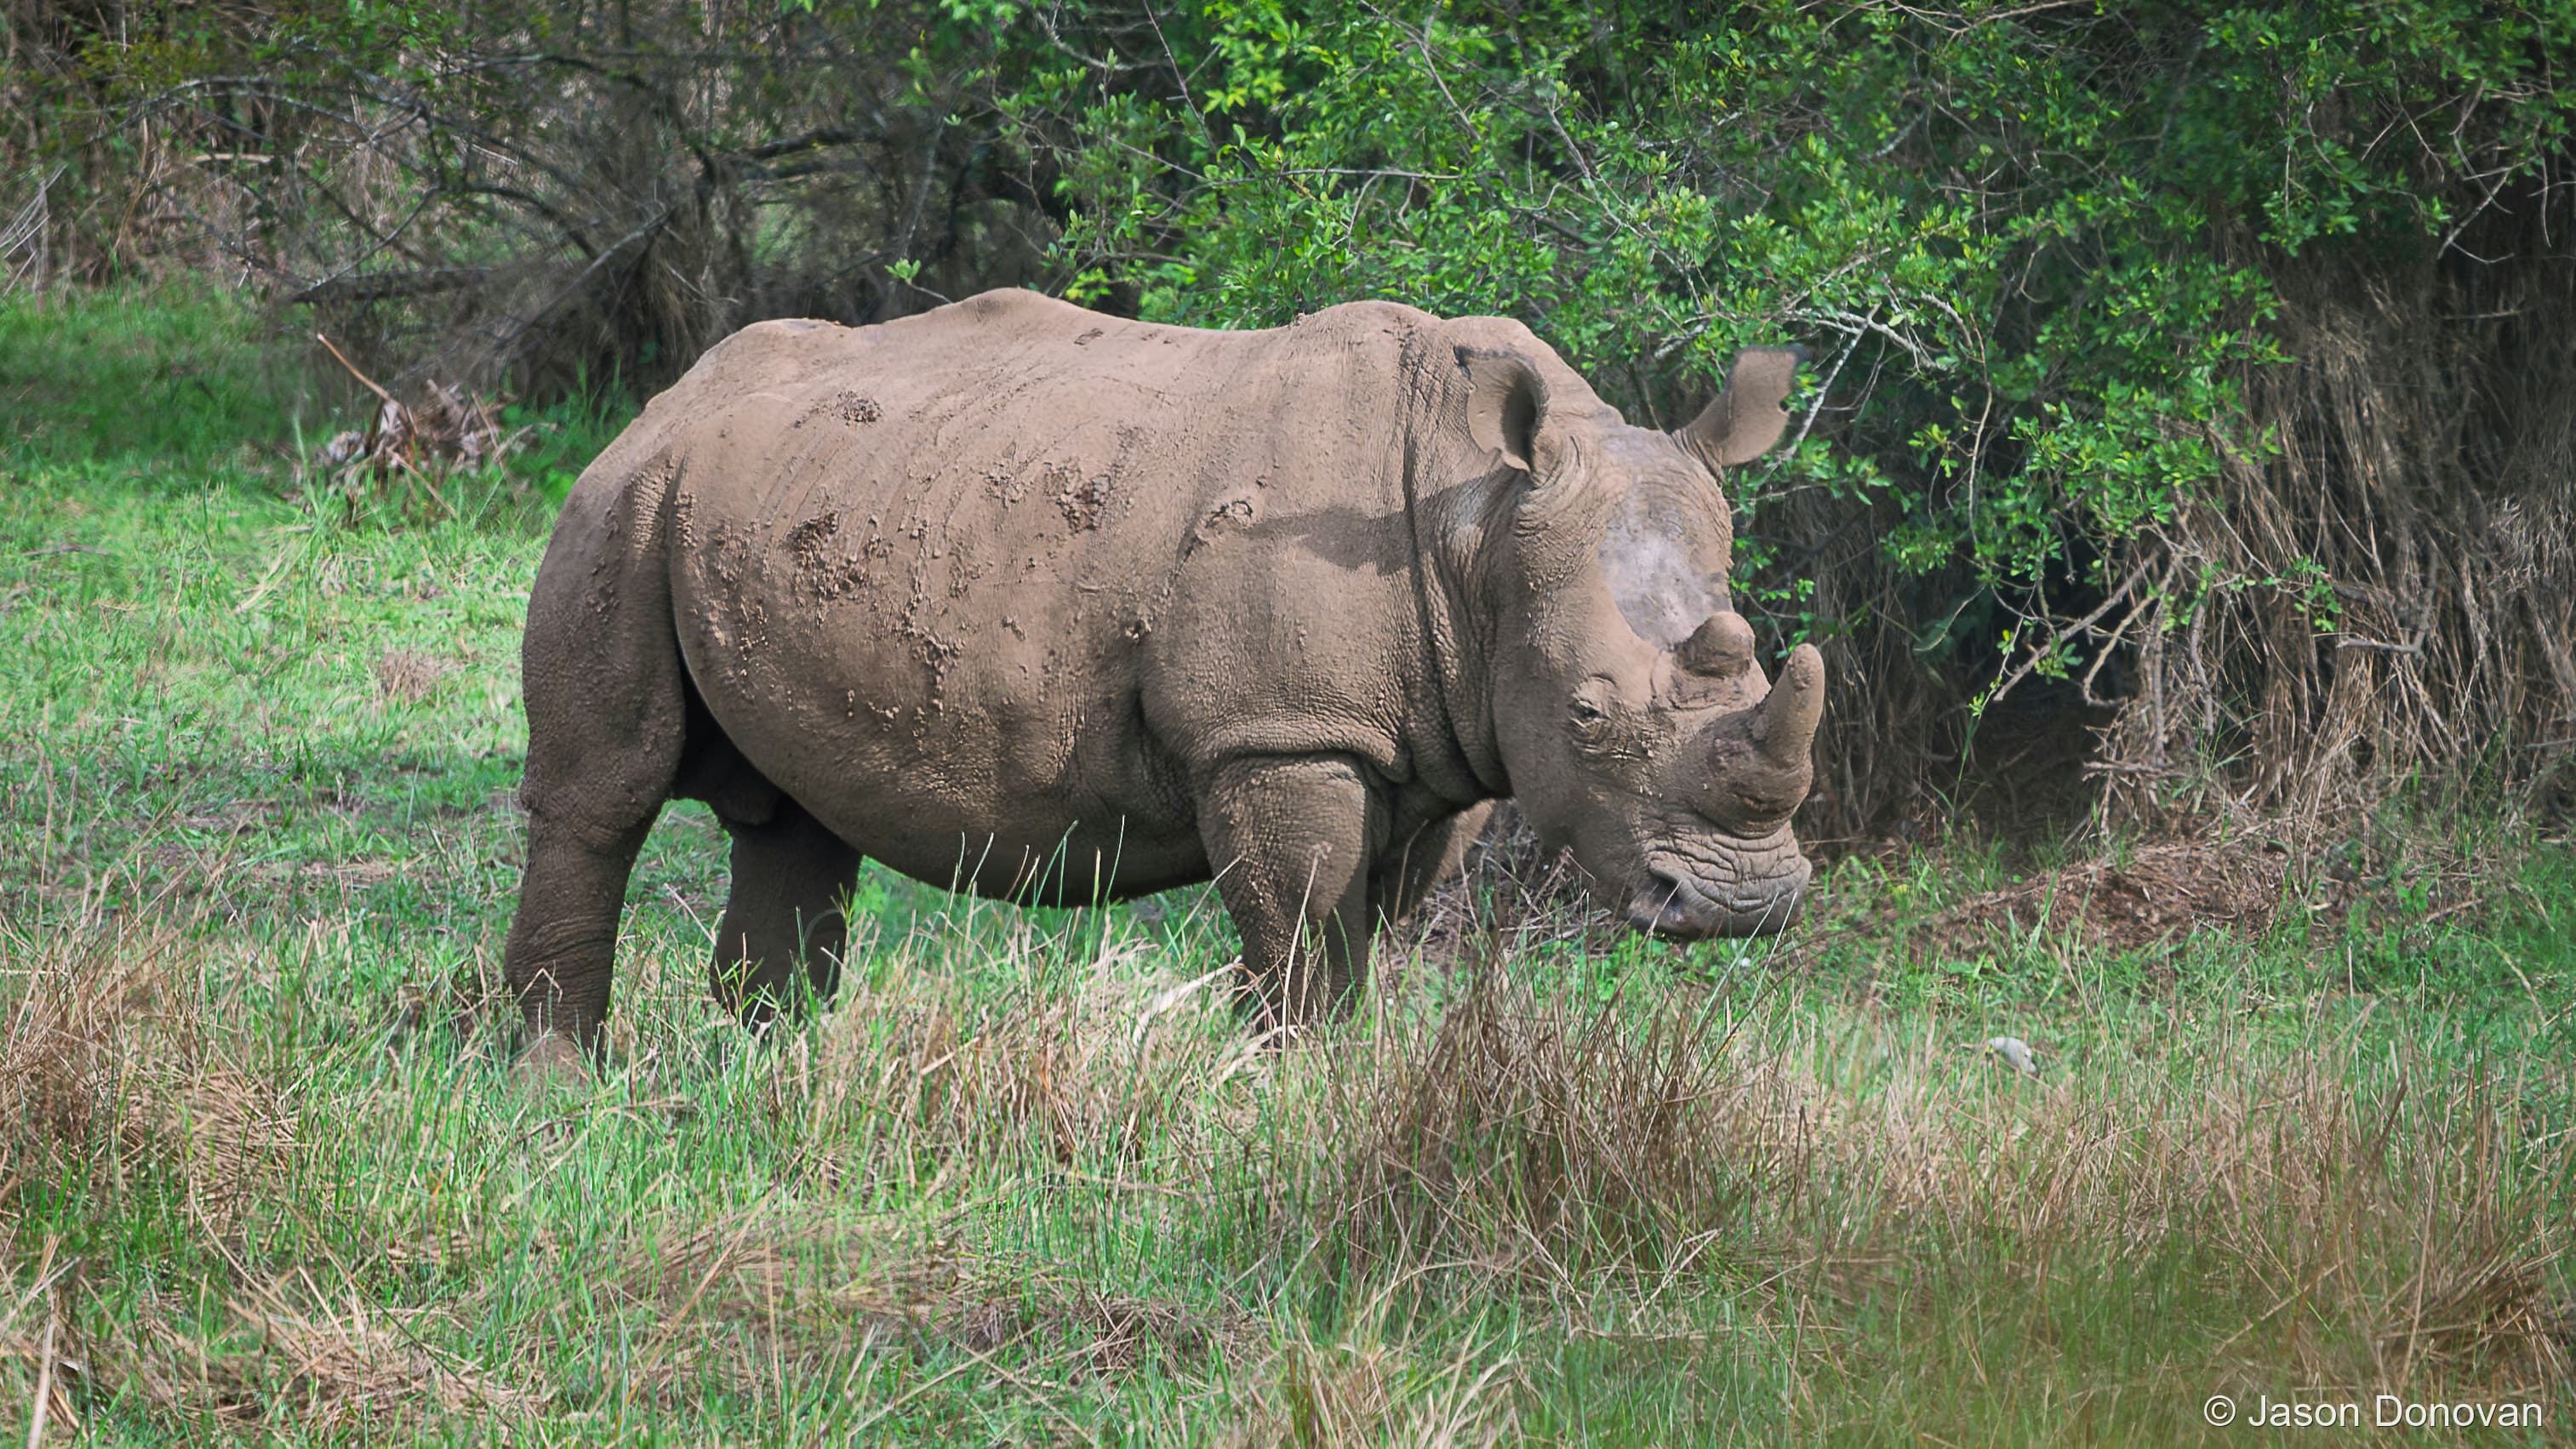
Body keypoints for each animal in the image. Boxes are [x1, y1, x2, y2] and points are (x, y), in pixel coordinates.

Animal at [503, 289, 1822, 1060]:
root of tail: (674, 393)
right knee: (605, 794)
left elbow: (1366, 932)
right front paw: (1290, 1085)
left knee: (794, 817)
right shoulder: (1279, 728)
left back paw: (767, 1069)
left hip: (776, 495)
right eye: (1589, 712)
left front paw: (1330, 1076)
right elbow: (1302, 923)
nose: (1741, 903)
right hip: (626, 496)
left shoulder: (1445, 743)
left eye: (1756, 661)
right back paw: (561, 1081)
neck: (1478, 524)